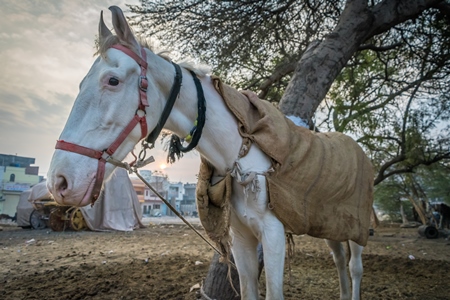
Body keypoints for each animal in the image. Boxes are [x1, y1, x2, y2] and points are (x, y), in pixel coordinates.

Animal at [46, 5, 366, 298]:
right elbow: (248, 290)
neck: (239, 155)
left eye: (112, 80)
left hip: (356, 228)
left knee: (354, 267)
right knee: (339, 260)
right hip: (329, 226)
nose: (58, 182)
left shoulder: (273, 234)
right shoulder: (242, 238)